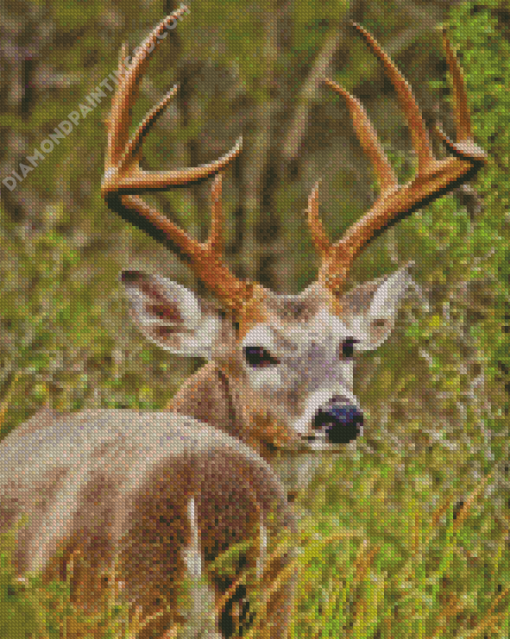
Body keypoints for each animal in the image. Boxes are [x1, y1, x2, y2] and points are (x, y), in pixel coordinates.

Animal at [0, 6, 486, 639]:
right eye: (256, 351)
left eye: (348, 345)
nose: (340, 415)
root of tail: (210, 491)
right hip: (273, 598)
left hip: (131, 597)